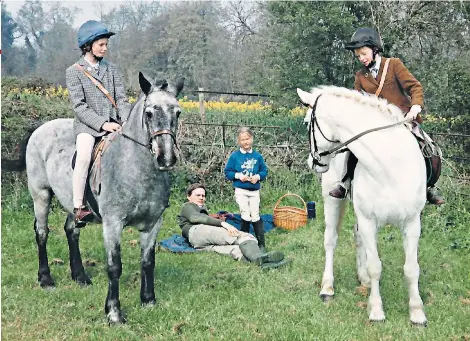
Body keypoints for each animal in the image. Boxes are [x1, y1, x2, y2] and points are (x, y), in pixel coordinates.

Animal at [22, 73, 184, 322]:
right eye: (149, 113)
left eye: (177, 113)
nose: (166, 158)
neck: (136, 169)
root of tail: (42, 128)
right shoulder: (113, 224)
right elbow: (114, 267)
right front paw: (114, 312)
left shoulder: (153, 224)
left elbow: (148, 262)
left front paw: (148, 300)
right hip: (40, 195)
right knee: (42, 233)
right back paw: (46, 279)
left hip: (73, 204)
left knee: (71, 230)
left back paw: (80, 276)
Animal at [300, 85, 428, 324]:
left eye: (306, 123)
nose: (312, 162)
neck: (390, 165)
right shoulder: (369, 221)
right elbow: (375, 266)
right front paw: (376, 310)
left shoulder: (412, 223)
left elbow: (411, 268)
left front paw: (417, 312)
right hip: (333, 201)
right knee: (331, 240)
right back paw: (327, 287)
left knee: (356, 236)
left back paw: (363, 279)